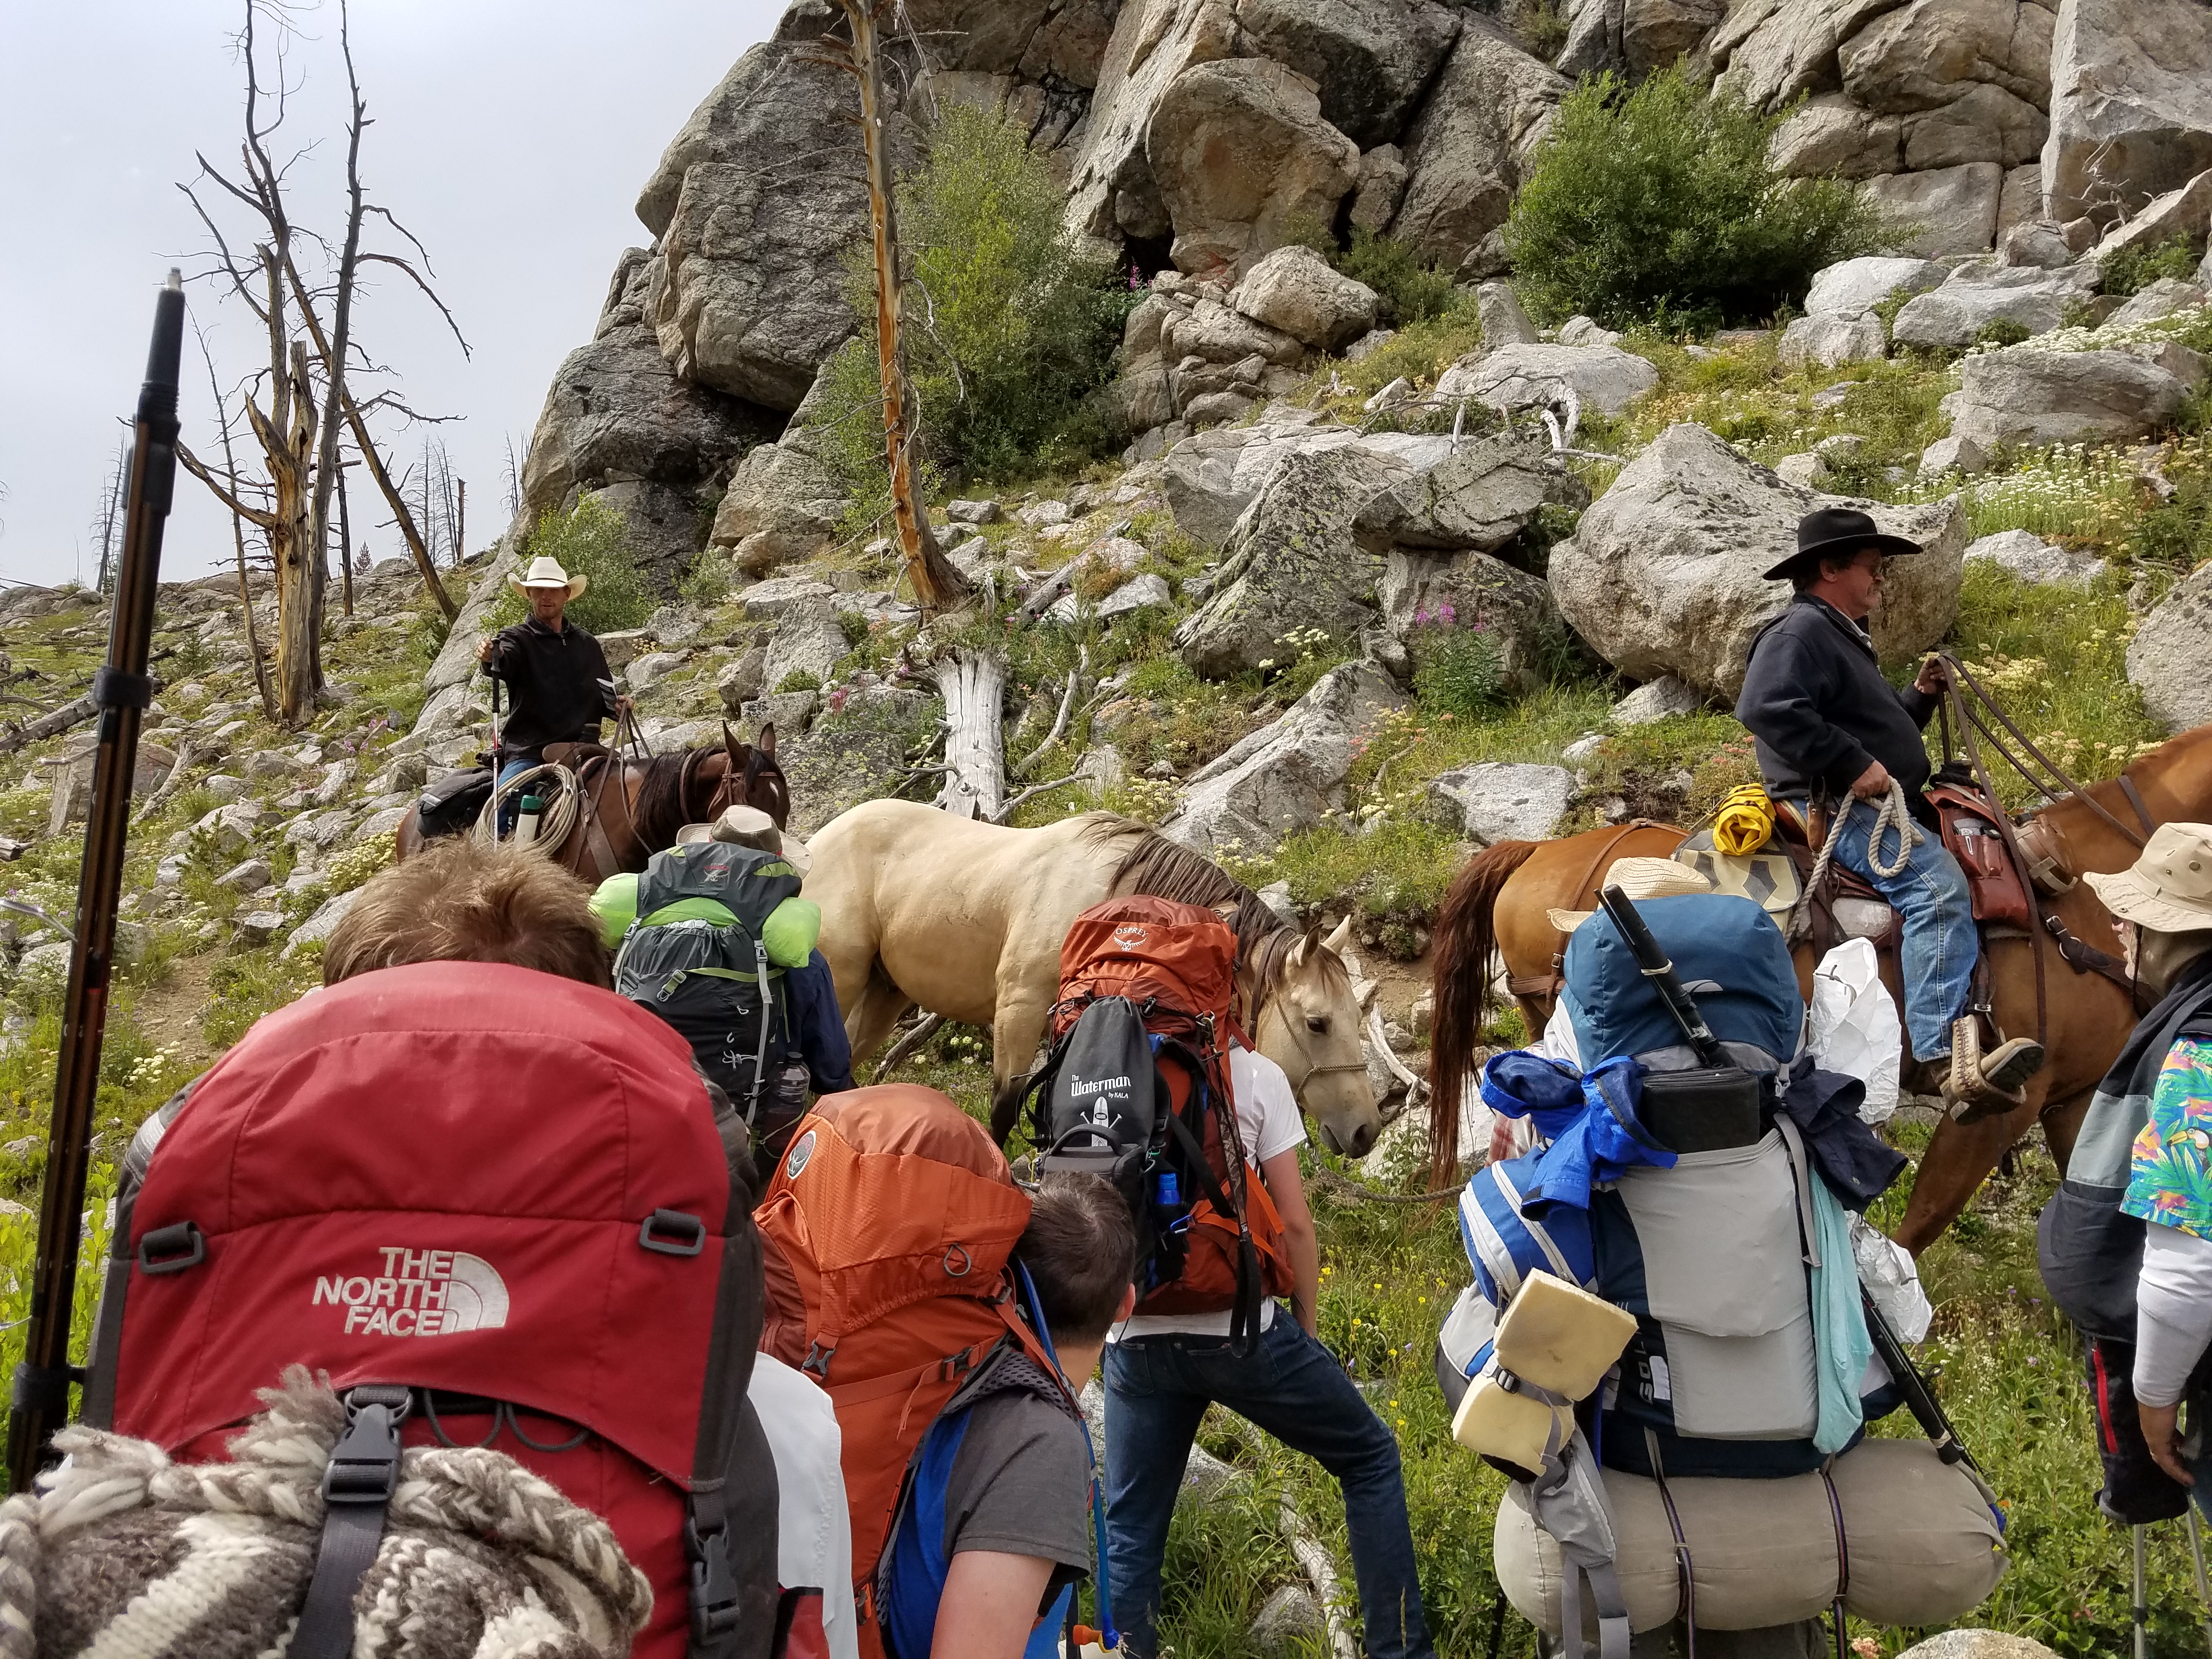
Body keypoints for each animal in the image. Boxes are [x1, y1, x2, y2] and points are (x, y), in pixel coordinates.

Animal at [796, 800, 1380, 1159]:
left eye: (1357, 1017)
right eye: (1318, 1023)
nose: (1366, 1130)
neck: (1111, 910)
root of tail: (815, 844)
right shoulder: (1019, 1011)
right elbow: (1005, 1111)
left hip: (882, 996)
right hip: (840, 985)